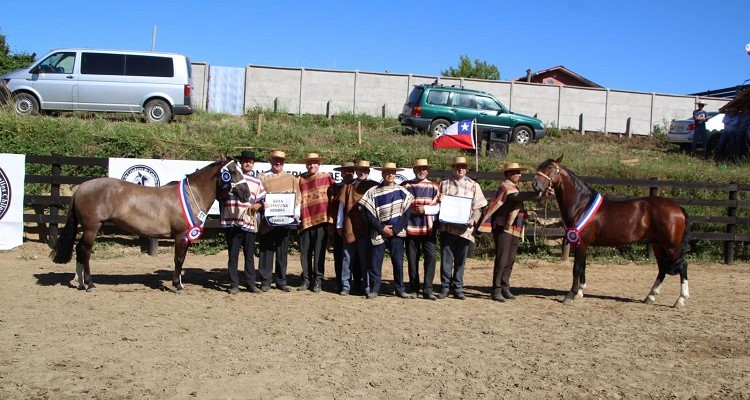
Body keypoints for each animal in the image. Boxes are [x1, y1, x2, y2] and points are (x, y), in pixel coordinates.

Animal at [50, 156, 251, 294]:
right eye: (232, 172)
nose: (247, 194)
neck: (191, 195)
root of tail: (81, 187)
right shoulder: (181, 235)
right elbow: (178, 259)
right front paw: (178, 286)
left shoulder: (186, 236)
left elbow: (182, 260)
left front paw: (179, 283)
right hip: (92, 228)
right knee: (85, 251)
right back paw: (90, 284)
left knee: (79, 249)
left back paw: (81, 282)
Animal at [532, 155, 692, 308]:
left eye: (550, 167)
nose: (535, 184)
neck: (581, 205)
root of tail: (678, 208)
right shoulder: (582, 244)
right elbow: (583, 266)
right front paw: (580, 291)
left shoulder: (581, 243)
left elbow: (576, 268)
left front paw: (570, 295)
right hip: (657, 244)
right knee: (662, 268)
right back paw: (650, 296)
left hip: (671, 246)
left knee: (683, 265)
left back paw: (680, 300)